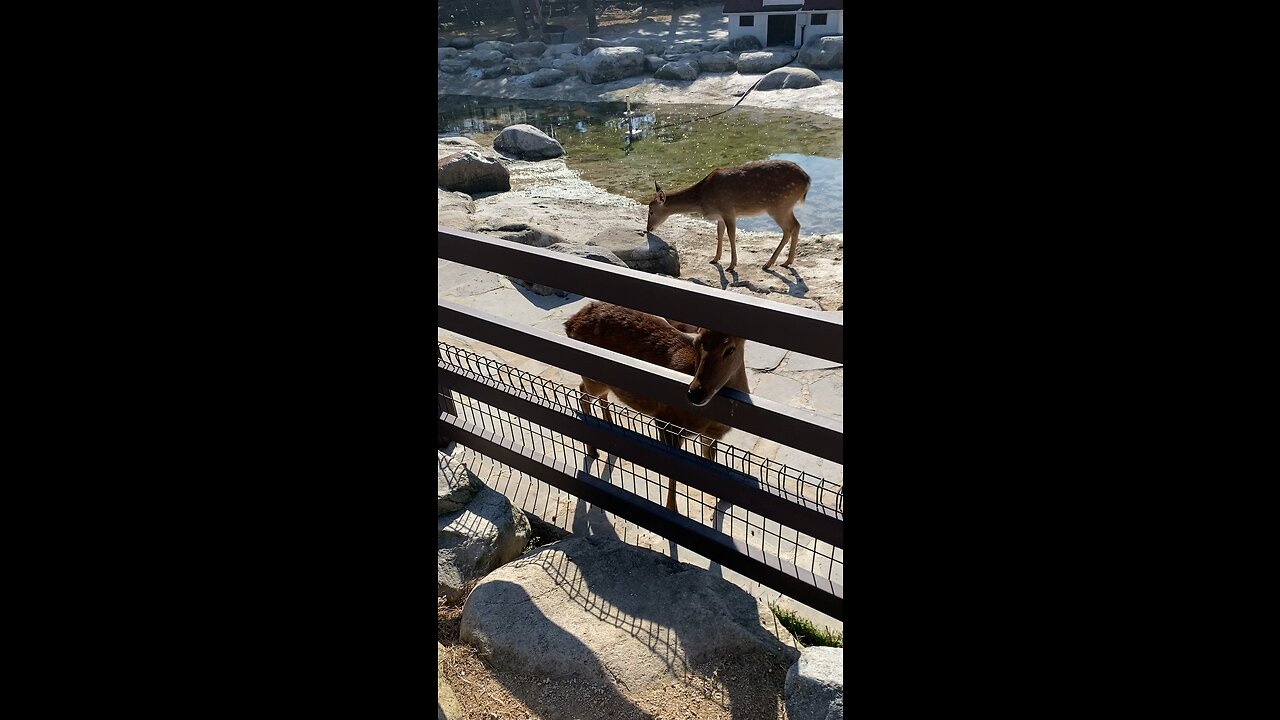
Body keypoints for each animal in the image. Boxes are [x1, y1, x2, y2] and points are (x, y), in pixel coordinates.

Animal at [563, 301, 747, 509]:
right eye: (696, 344)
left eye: (730, 349)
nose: (695, 392)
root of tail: (570, 323)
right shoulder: (665, 419)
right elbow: (673, 472)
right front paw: (671, 508)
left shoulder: (709, 435)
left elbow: (710, 459)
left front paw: (721, 498)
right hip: (592, 378)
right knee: (582, 394)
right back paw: (593, 450)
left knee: (601, 396)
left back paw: (610, 428)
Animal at [645, 158, 814, 271]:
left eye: (651, 210)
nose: (648, 228)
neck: (703, 198)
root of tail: (807, 180)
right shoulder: (720, 216)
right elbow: (719, 233)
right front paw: (715, 258)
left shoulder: (727, 209)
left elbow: (731, 235)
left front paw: (732, 265)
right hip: (786, 206)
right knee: (797, 225)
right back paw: (787, 261)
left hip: (779, 206)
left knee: (788, 228)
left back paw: (769, 263)